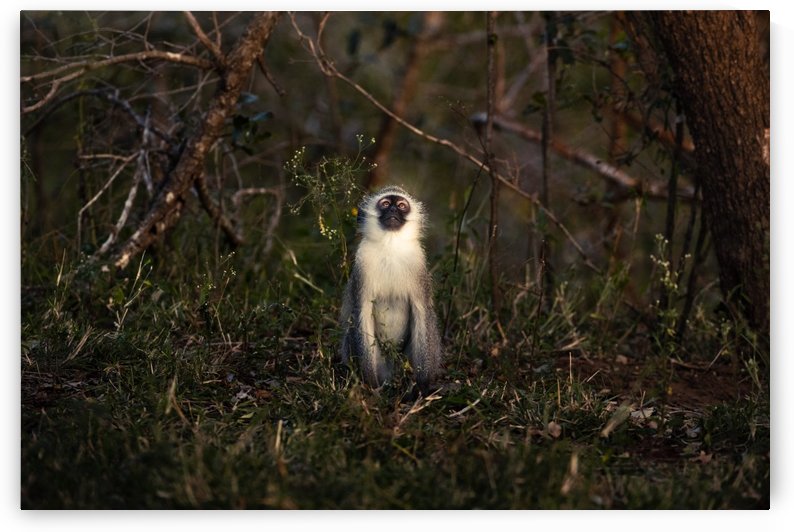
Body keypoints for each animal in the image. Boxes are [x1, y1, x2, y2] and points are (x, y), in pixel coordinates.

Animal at [339, 185, 443, 394]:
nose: (393, 210)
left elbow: (422, 312)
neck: (390, 245)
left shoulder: (418, 264)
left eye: (402, 206)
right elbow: (361, 312)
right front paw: (370, 385)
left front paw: (421, 387)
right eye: (386, 204)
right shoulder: (362, 265)